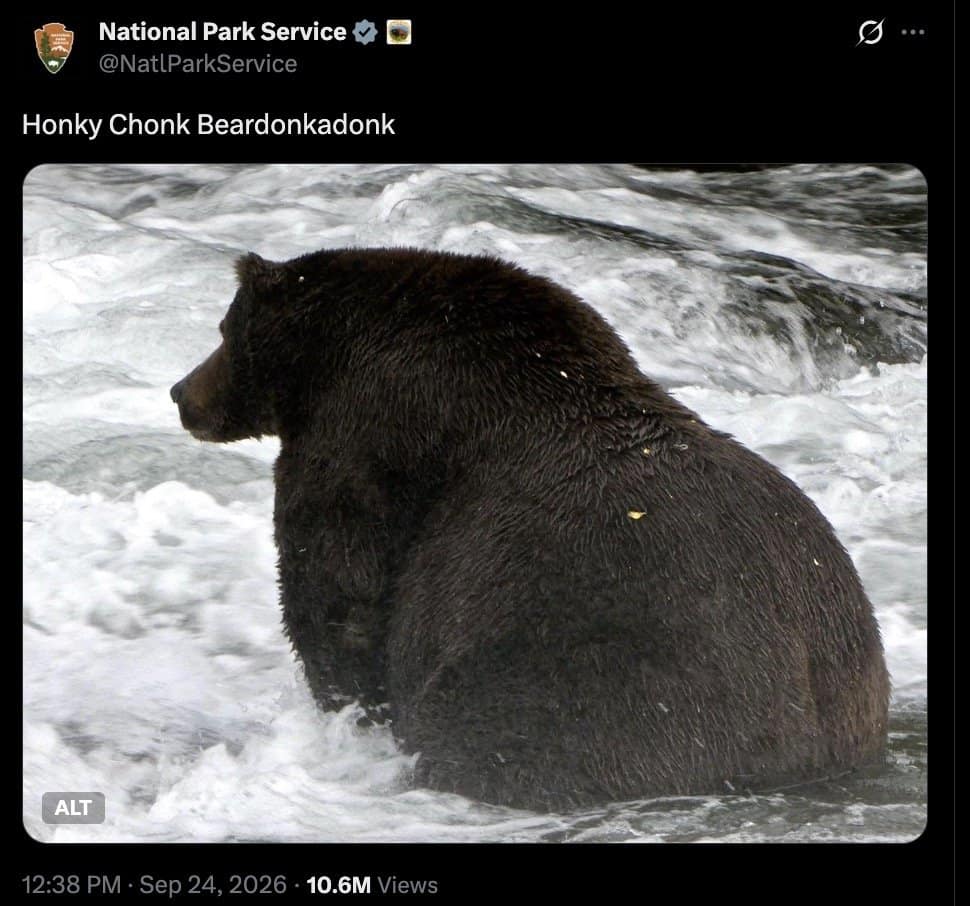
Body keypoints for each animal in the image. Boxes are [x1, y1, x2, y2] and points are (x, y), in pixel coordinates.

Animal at [170, 247, 890, 811]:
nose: (181, 392)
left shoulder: (360, 443)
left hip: (594, 681)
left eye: (223, 328)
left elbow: (337, 588)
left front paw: (349, 711)